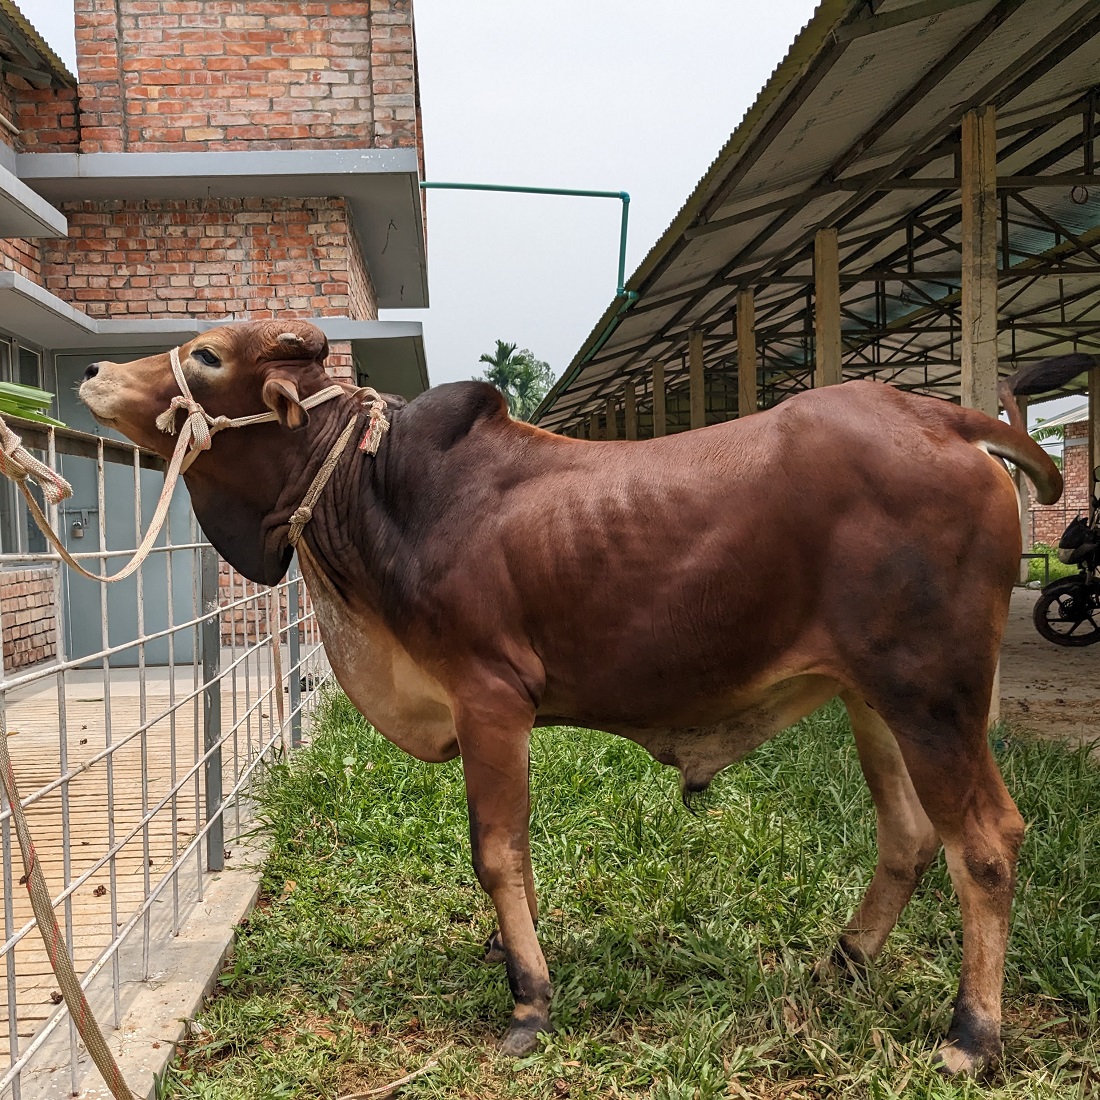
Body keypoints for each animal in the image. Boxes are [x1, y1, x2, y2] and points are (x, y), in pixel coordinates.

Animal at [77, 319, 1056, 1073]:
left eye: (206, 355)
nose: (90, 374)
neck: (376, 487)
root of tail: (945, 417)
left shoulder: (490, 699)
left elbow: (497, 851)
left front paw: (529, 1003)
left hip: (933, 697)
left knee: (986, 844)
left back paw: (973, 1034)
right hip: (874, 700)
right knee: (910, 838)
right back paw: (840, 964)